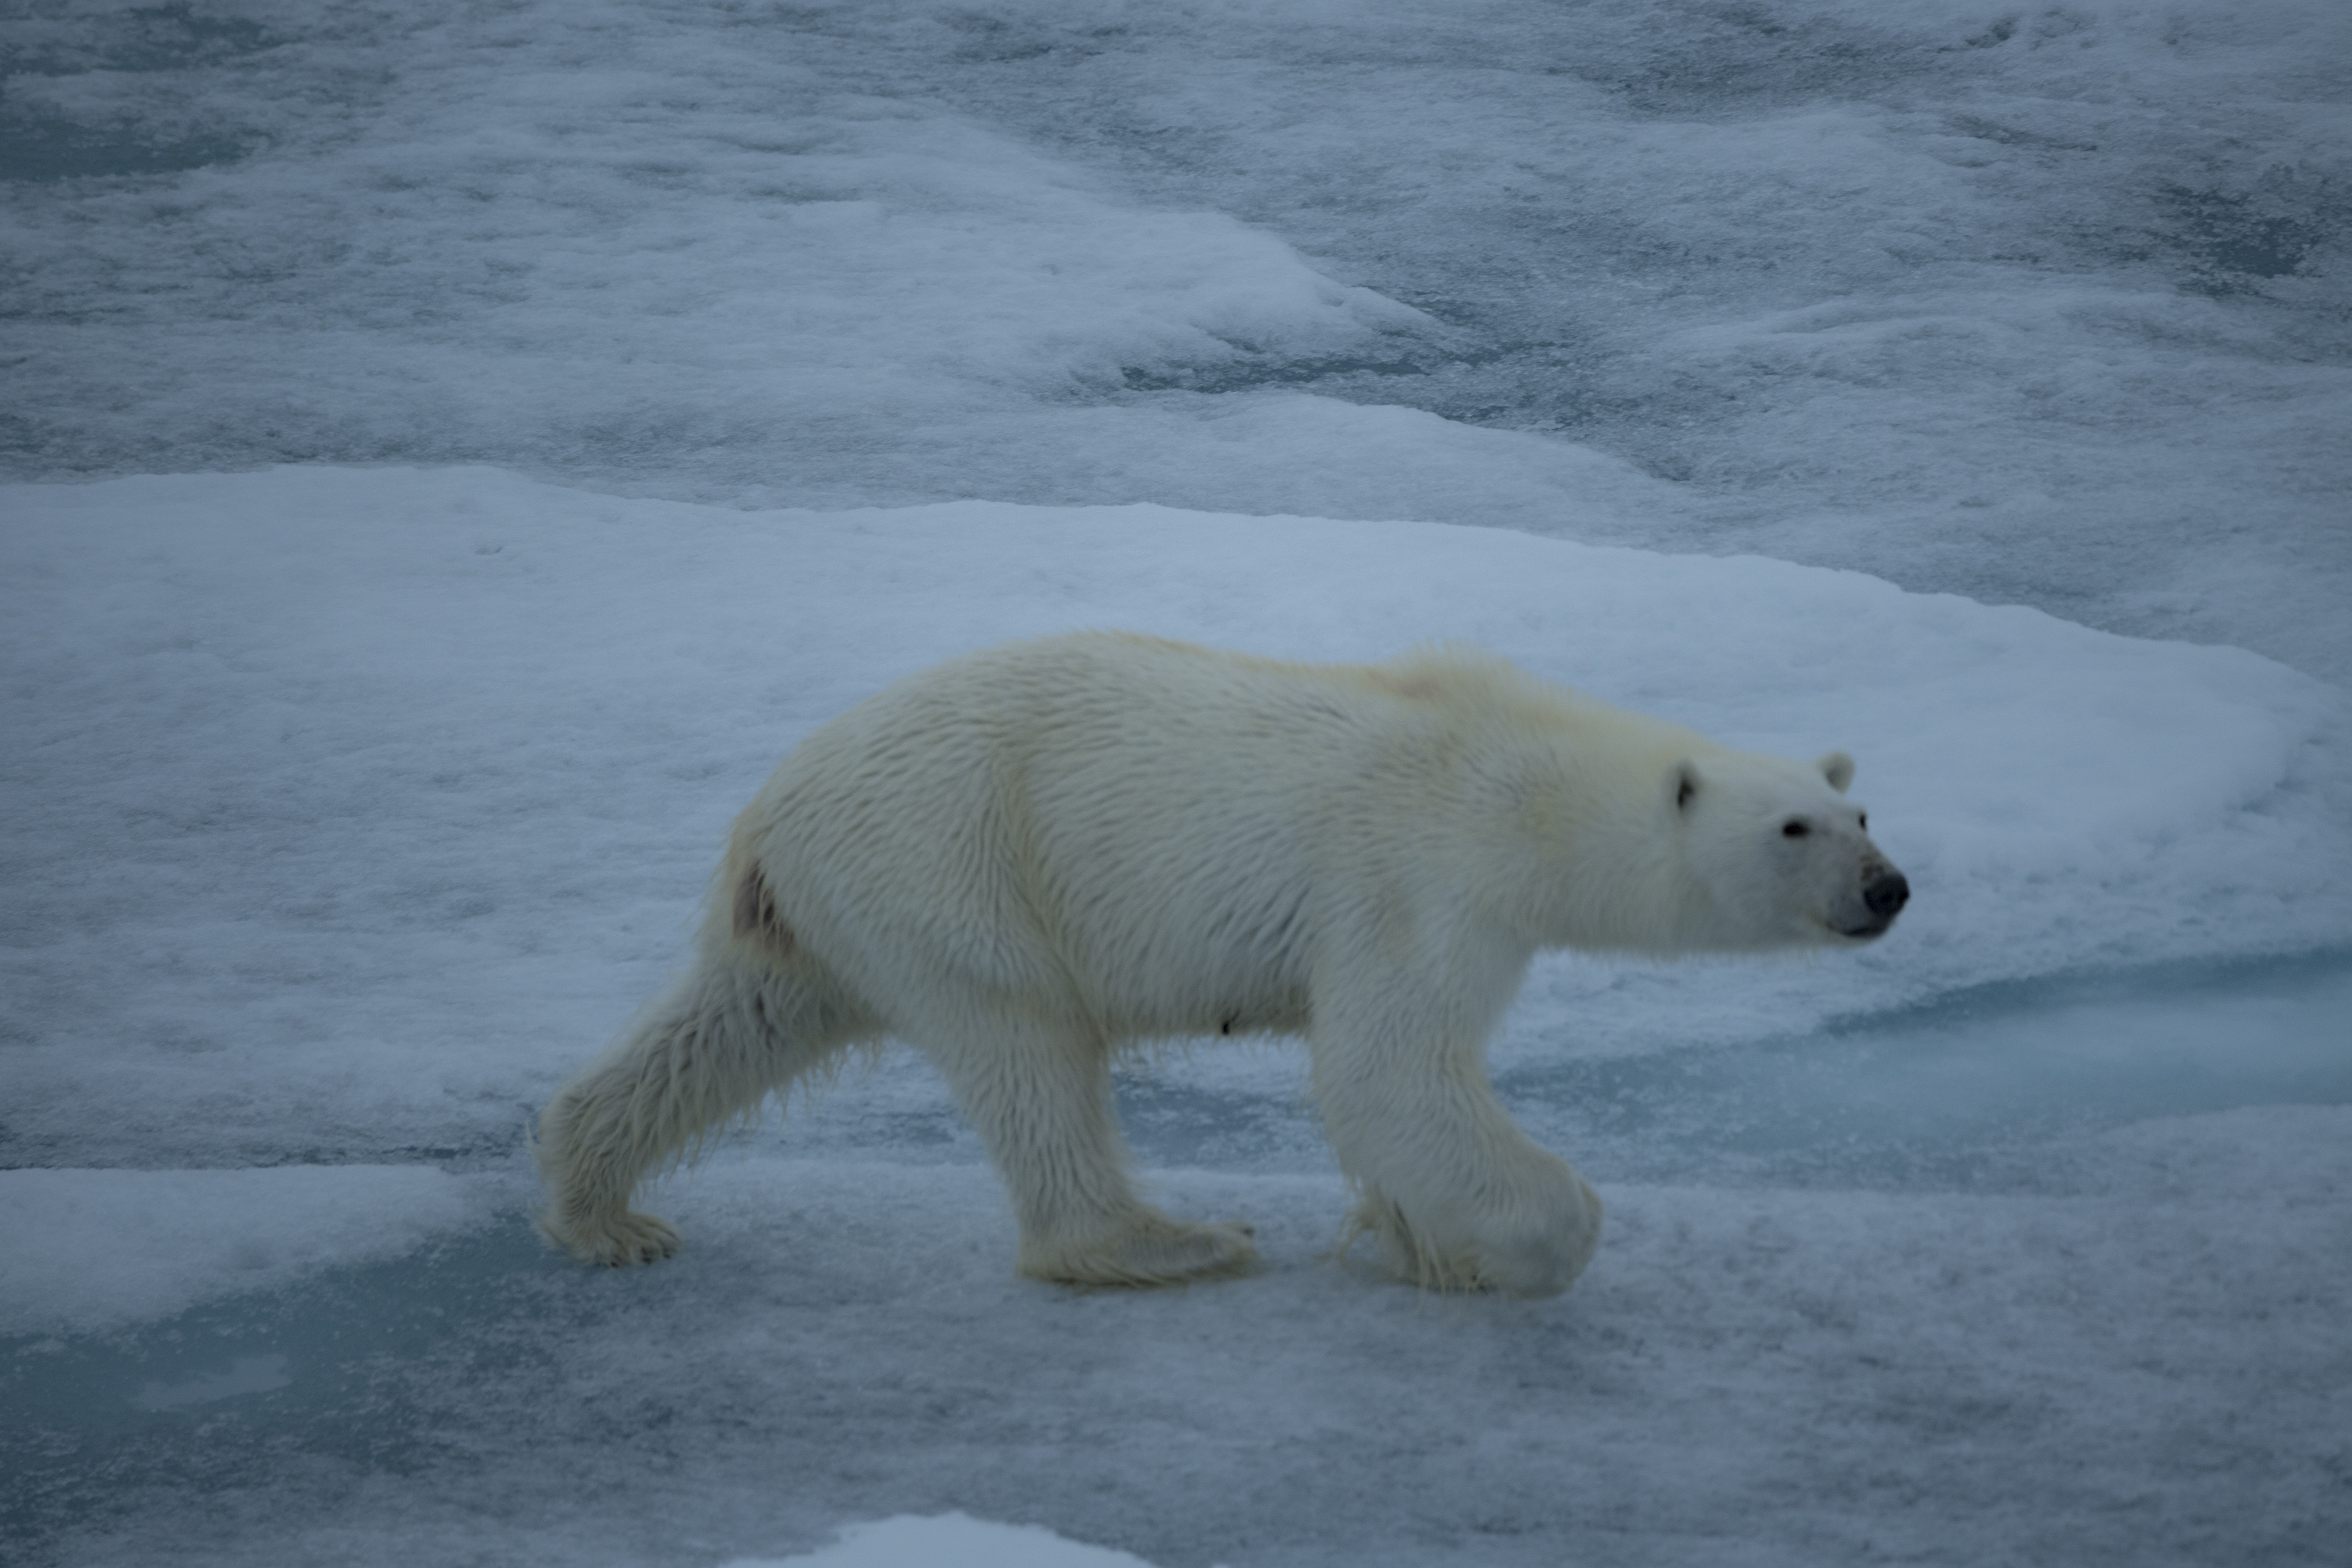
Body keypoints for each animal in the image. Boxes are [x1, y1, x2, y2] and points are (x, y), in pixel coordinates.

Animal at [539, 630, 1910, 1298]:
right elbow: (1385, 1069)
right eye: (1794, 829)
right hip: (953, 856)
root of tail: (766, 816)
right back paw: (1170, 1240)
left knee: (730, 1026)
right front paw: (1516, 1248)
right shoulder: (1411, 878)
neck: (1514, 780)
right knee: (1028, 1045)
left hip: (828, 914)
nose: (1886, 890)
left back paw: (605, 1208)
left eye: (1859, 810)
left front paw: (1414, 1238)